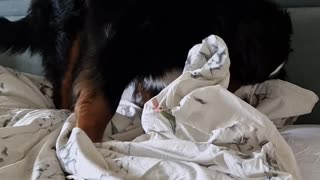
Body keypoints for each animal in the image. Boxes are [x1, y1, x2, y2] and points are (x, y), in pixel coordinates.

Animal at [0, 0, 292, 142]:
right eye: (247, 73)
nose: (251, 104)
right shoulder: (119, 41)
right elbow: (100, 102)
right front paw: (85, 143)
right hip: (69, 27)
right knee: (63, 76)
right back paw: (63, 112)